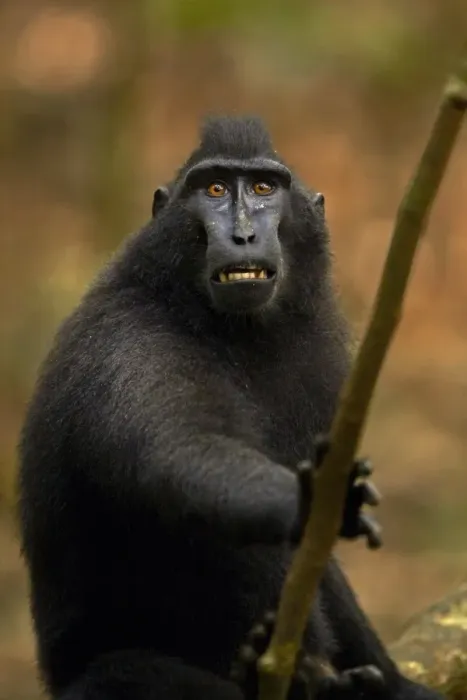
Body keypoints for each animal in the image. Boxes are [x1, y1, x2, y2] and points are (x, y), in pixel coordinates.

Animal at [17, 115, 442, 700]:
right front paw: (308, 501)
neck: (232, 331)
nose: (242, 234)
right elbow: (178, 453)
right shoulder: (131, 348)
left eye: (264, 188)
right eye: (215, 190)